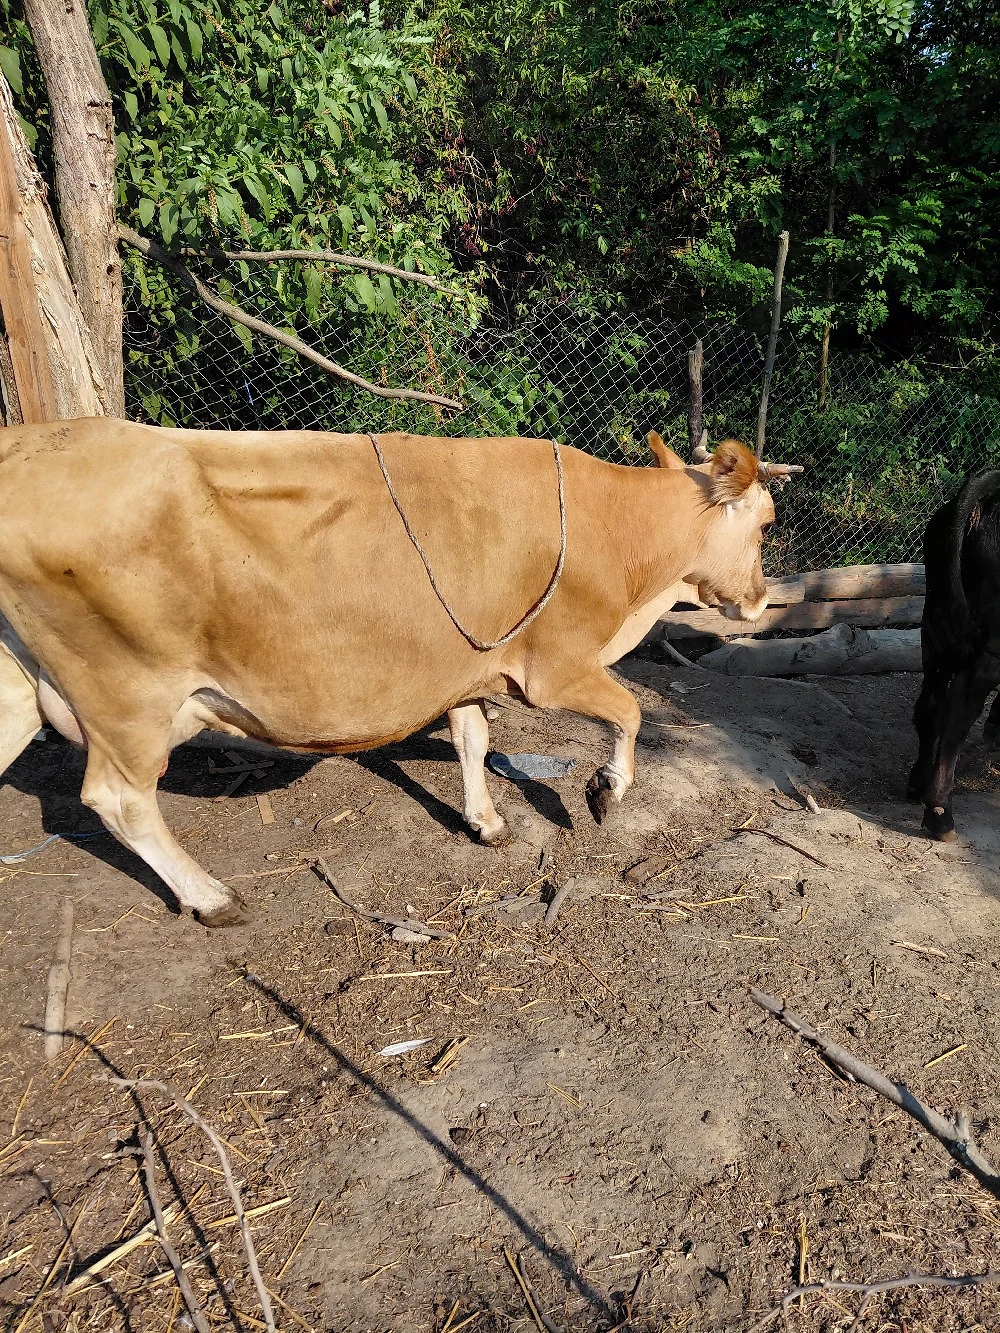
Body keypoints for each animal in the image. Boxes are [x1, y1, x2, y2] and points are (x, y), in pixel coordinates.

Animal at [0, 419, 796, 925]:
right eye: (764, 525)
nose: (760, 599)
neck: (622, 539)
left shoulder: (469, 667)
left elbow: (473, 740)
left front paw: (486, 821)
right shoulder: (558, 664)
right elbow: (630, 711)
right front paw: (607, 789)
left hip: (20, 685)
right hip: (127, 692)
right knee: (121, 800)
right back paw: (212, 896)